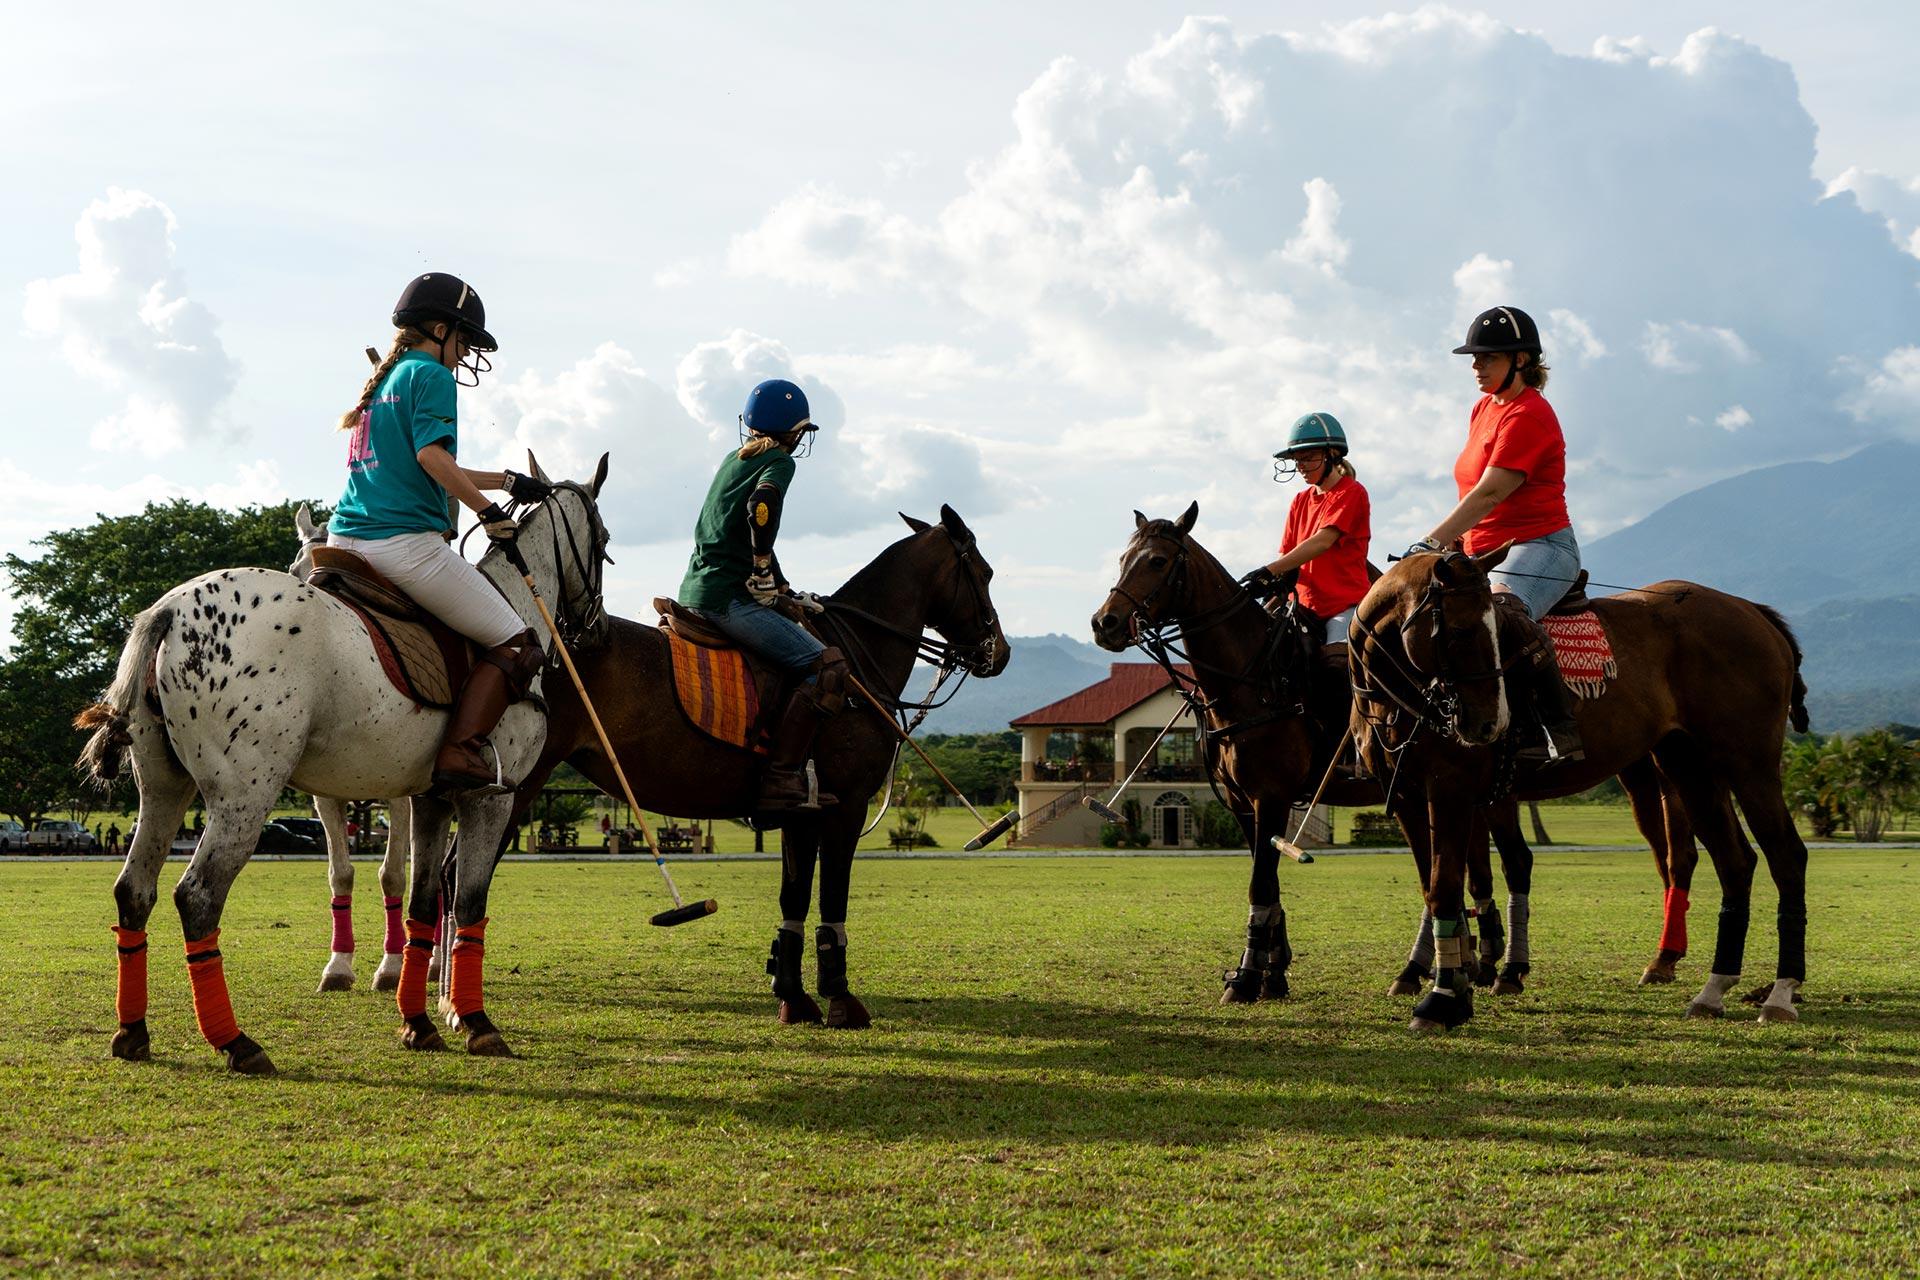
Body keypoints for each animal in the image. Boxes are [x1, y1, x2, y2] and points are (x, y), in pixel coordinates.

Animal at [78, 454, 606, 1074]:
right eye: (604, 540)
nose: (594, 628)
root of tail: (168, 609)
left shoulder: (426, 797)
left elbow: (419, 896)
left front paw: (417, 1019)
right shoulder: (491, 797)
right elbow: (468, 901)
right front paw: (475, 1022)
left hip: (163, 786)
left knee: (134, 889)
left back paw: (133, 1033)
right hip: (245, 792)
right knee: (198, 895)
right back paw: (237, 1043)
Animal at [495, 506, 1013, 1036]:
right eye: (986, 572)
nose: (1000, 653)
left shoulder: (802, 811)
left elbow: (794, 897)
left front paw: (793, 997)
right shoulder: (845, 806)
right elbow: (833, 896)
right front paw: (841, 1000)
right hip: (519, 780)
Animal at [1351, 552, 1812, 1028]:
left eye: (1490, 632)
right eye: (1461, 631)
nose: (1489, 724)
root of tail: (1753, 610)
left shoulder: (1454, 790)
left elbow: (1449, 885)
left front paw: (1447, 995)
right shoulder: (1410, 796)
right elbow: (1439, 887)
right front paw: (1454, 979)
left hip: (1747, 763)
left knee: (1784, 855)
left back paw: (1780, 992)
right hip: (1688, 766)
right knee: (1733, 860)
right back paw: (1713, 988)